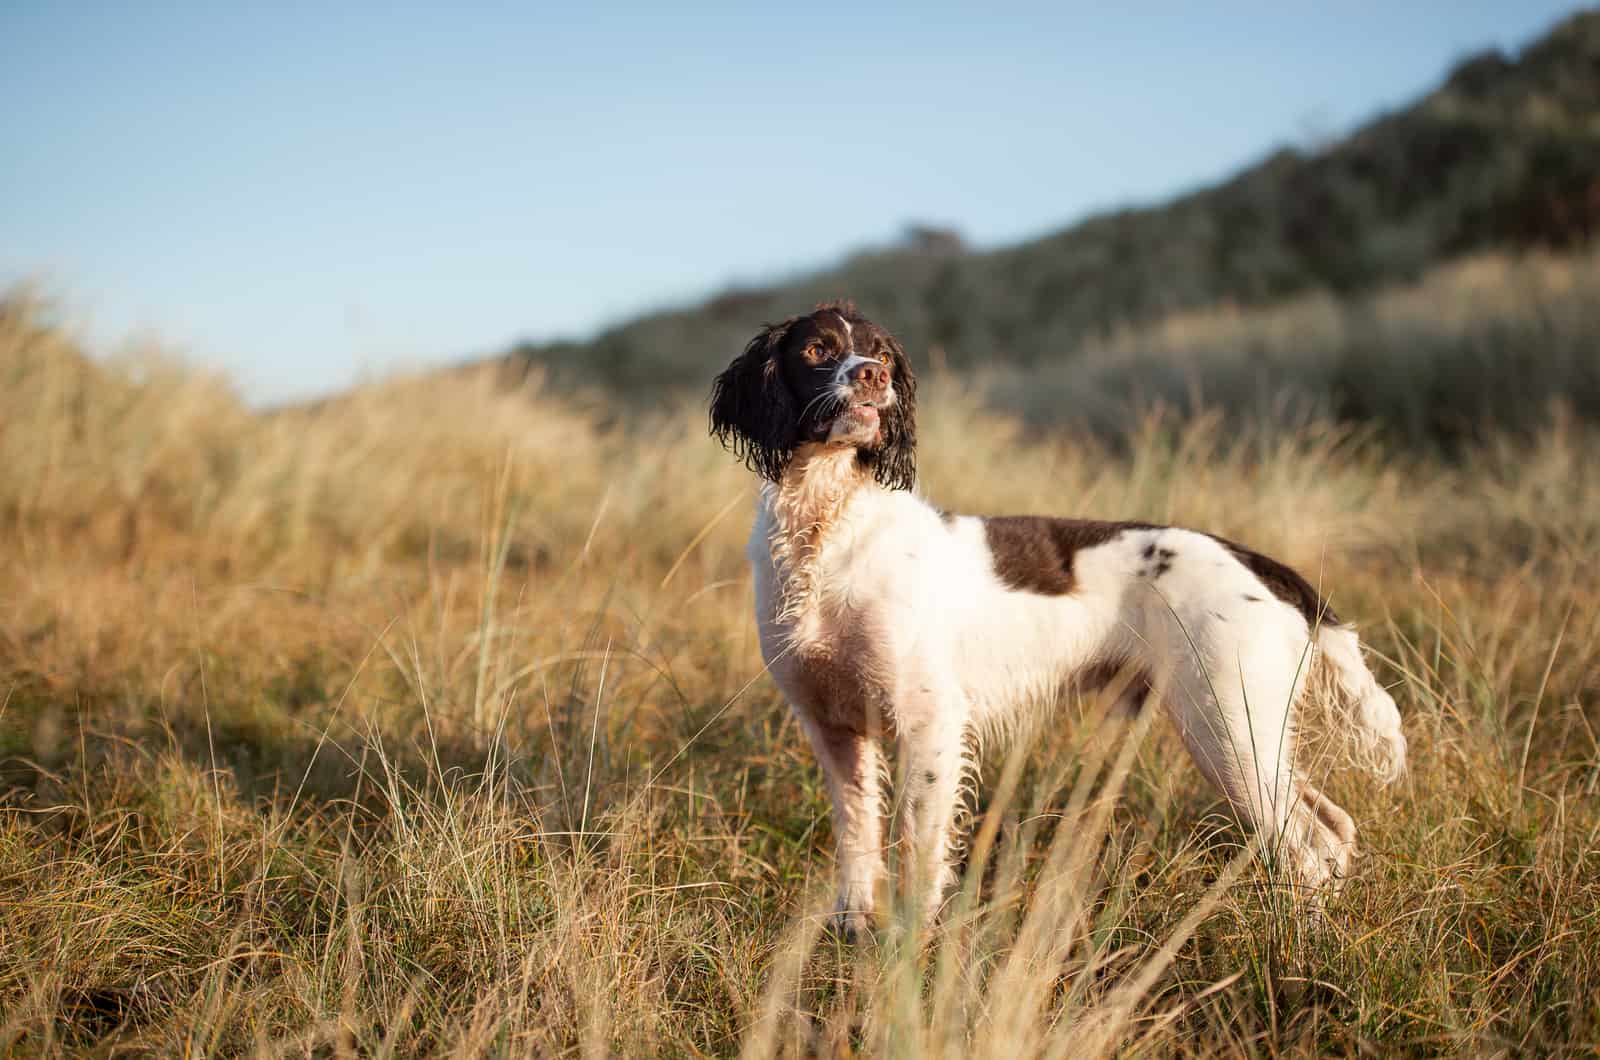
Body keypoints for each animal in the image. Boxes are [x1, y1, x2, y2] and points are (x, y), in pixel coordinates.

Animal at [710, 302, 1401, 935]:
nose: (873, 375)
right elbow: (858, 836)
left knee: (1309, 843)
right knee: (1333, 827)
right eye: (817, 350)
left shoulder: (929, 722)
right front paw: (853, 929)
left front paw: (906, 952)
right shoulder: (832, 728)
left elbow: (919, 852)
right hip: (1249, 734)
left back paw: (1300, 943)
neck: (828, 528)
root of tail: (1256, 561)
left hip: (1227, 725)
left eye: (879, 352)